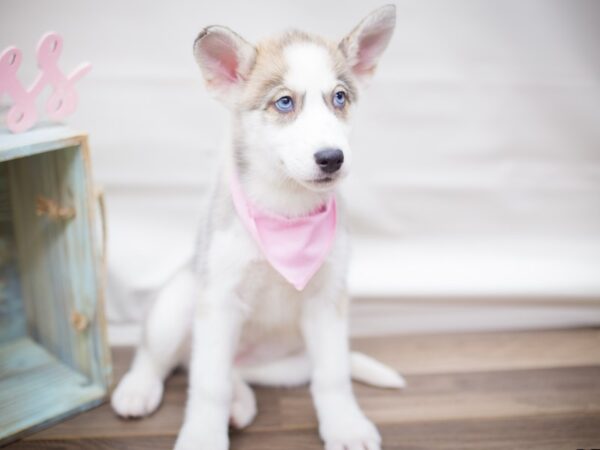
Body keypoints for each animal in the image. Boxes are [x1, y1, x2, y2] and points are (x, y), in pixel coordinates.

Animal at [112, 4, 404, 450]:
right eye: (284, 102)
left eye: (339, 97)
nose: (332, 157)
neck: (286, 212)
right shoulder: (219, 299)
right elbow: (207, 386)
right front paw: (203, 436)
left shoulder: (327, 301)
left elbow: (333, 376)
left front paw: (345, 425)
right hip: (179, 300)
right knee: (161, 357)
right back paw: (138, 389)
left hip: (287, 364)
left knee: (230, 370)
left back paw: (240, 401)